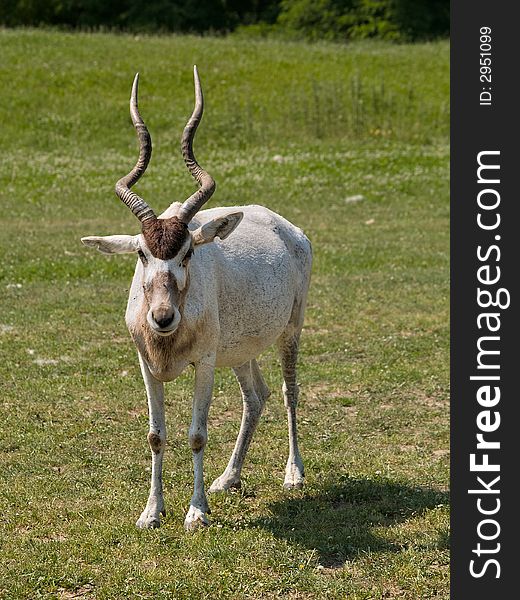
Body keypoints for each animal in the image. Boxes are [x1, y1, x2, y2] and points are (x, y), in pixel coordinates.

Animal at [79, 68, 310, 532]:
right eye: (141, 253)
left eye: (187, 252)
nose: (163, 317)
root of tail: (288, 228)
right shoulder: (146, 364)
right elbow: (156, 434)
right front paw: (151, 512)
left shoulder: (203, 364)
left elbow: (197, 434)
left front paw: (196, 512)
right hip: (238, 351)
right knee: (256, 396)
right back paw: (228, 478)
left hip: (290, 332)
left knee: (288, 390)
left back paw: (293, 474)